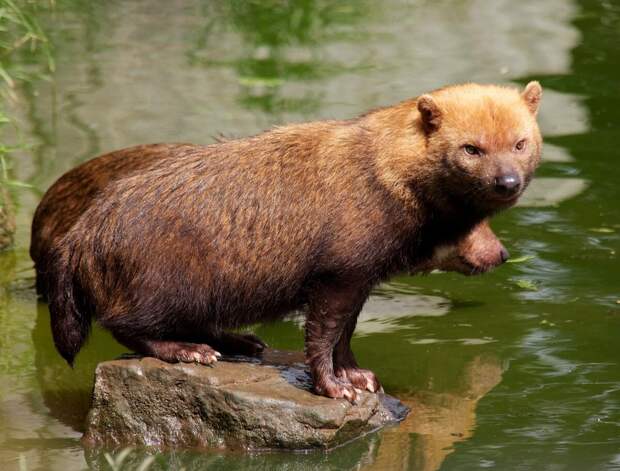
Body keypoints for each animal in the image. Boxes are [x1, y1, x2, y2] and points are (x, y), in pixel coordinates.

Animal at [31, 82, 540, 402]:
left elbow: (344, 335)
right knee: (126, 324)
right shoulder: (338, 272)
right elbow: (321, 335)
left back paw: (240, 340)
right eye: (471, 148)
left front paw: (358, 376)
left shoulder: (360, 278)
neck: (384, 176)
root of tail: (83, 232)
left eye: (520, 142)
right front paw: (334, 388)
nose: (507, 182)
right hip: (167, 284)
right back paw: (189, 351)